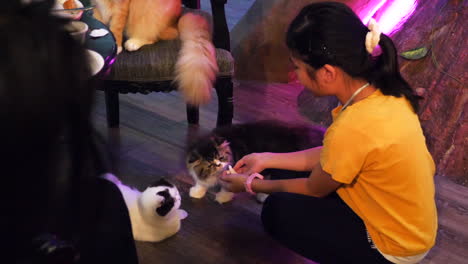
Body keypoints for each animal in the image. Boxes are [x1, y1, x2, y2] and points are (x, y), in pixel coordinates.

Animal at [93, 0, 221, 105]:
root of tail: (176, 26)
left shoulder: (121, 7)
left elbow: (116, 26)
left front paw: (115, 46)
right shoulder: (97, 6)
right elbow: (98, 20)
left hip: (146, 13)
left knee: (152, 37)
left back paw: (134, 43)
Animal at [186, 120, 326, 203]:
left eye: (221, 158)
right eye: (210, 165)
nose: (220, 165)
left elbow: (227, 189)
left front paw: (222, 197)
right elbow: (201, 182)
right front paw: (197, 192)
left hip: (284, 170)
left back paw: (263, 196)